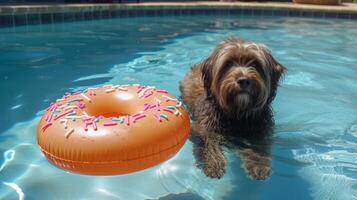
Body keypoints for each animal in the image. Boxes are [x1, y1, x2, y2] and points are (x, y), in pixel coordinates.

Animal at [179, 37, 286, 180]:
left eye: (255, 64)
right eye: (228, 64)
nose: (244, 80)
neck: (237, 114)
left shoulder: (261, 131)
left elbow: (259, 148)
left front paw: (259, 165)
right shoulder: (205, 128)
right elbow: (208, 143)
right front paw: (213, 164)